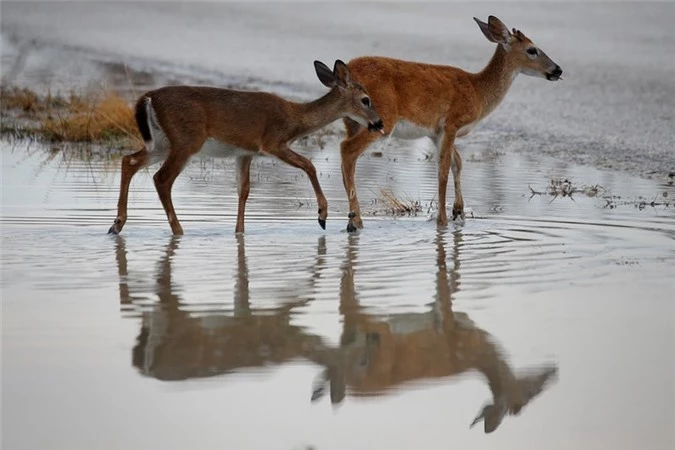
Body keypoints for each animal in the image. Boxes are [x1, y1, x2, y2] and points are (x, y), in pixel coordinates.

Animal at [109, 60, 386, 236]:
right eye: (366, 99)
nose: (379, 122)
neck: (294, 117)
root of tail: (148, 98)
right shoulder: (272, 142)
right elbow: (309, 165)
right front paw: (322, 215)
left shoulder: (245, 152)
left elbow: (243, 190)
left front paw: (239, 233)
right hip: (186, 141)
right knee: (161, 179)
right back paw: (178, 231)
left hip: (161, 144)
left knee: (128, 160)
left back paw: (116, 225)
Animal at [338, 14, 564, 232]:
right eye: (532, 49)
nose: (558, 70)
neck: (478, 92)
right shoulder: (452, 123)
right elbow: (443, 170)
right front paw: (443, 221)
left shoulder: (435, 132)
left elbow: (458, 162)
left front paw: (458, 212)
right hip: (382, 118)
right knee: (347, 149)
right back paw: (355, 222)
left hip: (351, 122)